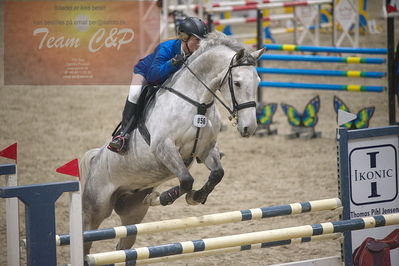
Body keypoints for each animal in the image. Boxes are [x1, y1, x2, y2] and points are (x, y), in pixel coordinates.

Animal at [79, 31, 264, 254]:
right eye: (237, 83)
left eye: (258, 81)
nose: (249, 128)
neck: (198, 103)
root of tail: (96, 159)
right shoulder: (163, 147)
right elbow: (186, 180)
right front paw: (164, 197)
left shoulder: (206, 149)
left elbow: (217, 174)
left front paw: (196, 197)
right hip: (95, 209)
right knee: (86, 240)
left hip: (133, 212)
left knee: (124, 244)